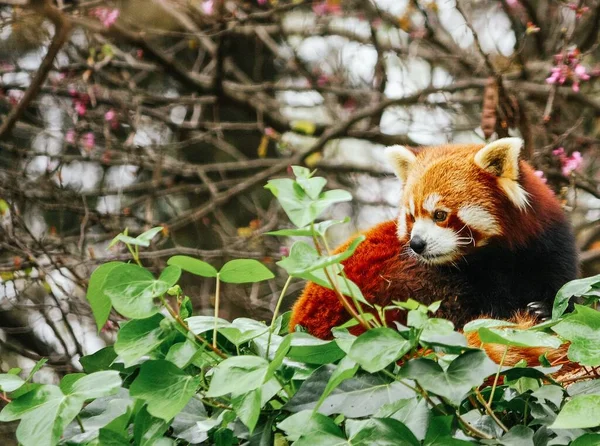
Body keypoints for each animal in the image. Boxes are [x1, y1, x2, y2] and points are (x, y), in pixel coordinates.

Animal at [288, 139, 580, 366]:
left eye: (440, 214)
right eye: (412, 216)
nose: (416, 244)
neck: (496, 256)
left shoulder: (548, 248)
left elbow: (562, 288)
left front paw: (544, 309)